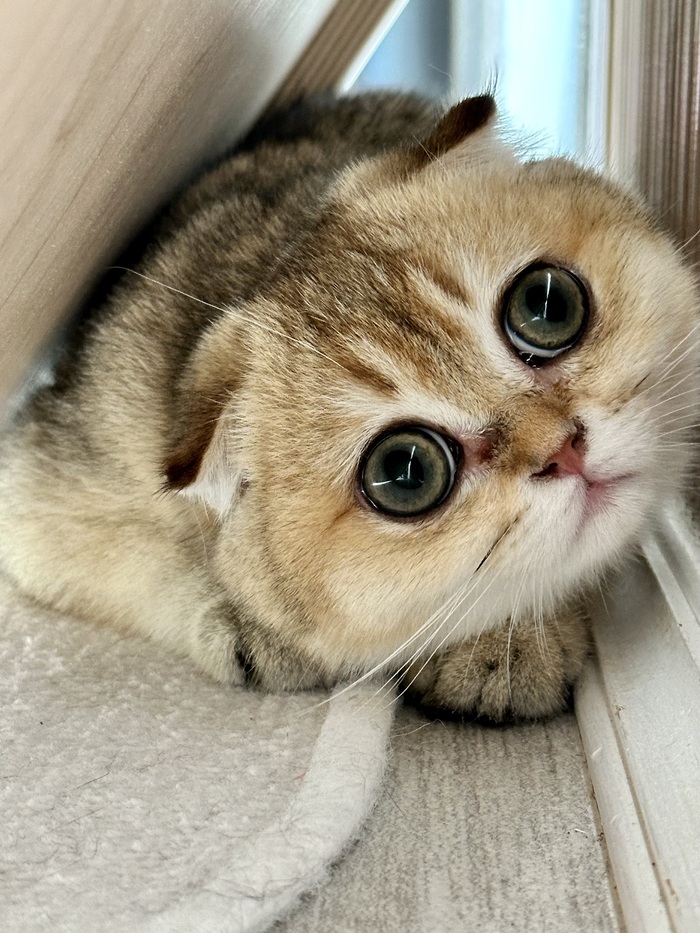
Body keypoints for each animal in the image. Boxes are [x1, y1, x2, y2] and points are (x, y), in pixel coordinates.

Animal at [0, 92, 697, 722]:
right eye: (405, 472)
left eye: (547, 304)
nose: (565, 448)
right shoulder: (43, 492)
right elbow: (154, 560)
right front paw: (247, 626)